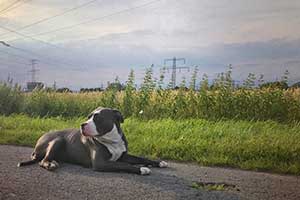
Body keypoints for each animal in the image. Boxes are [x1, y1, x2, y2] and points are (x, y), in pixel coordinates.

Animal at [17, 107, 168, 174]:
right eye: (88, 117)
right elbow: (124, 165)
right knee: (43, 160)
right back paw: (50, 164)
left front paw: (158, 162)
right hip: (57, 140)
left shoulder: (124, 155)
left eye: (97, 118)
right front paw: (142, 169)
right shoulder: (101, 163)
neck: (111, 139)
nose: (82, 124)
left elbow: (141, 158)